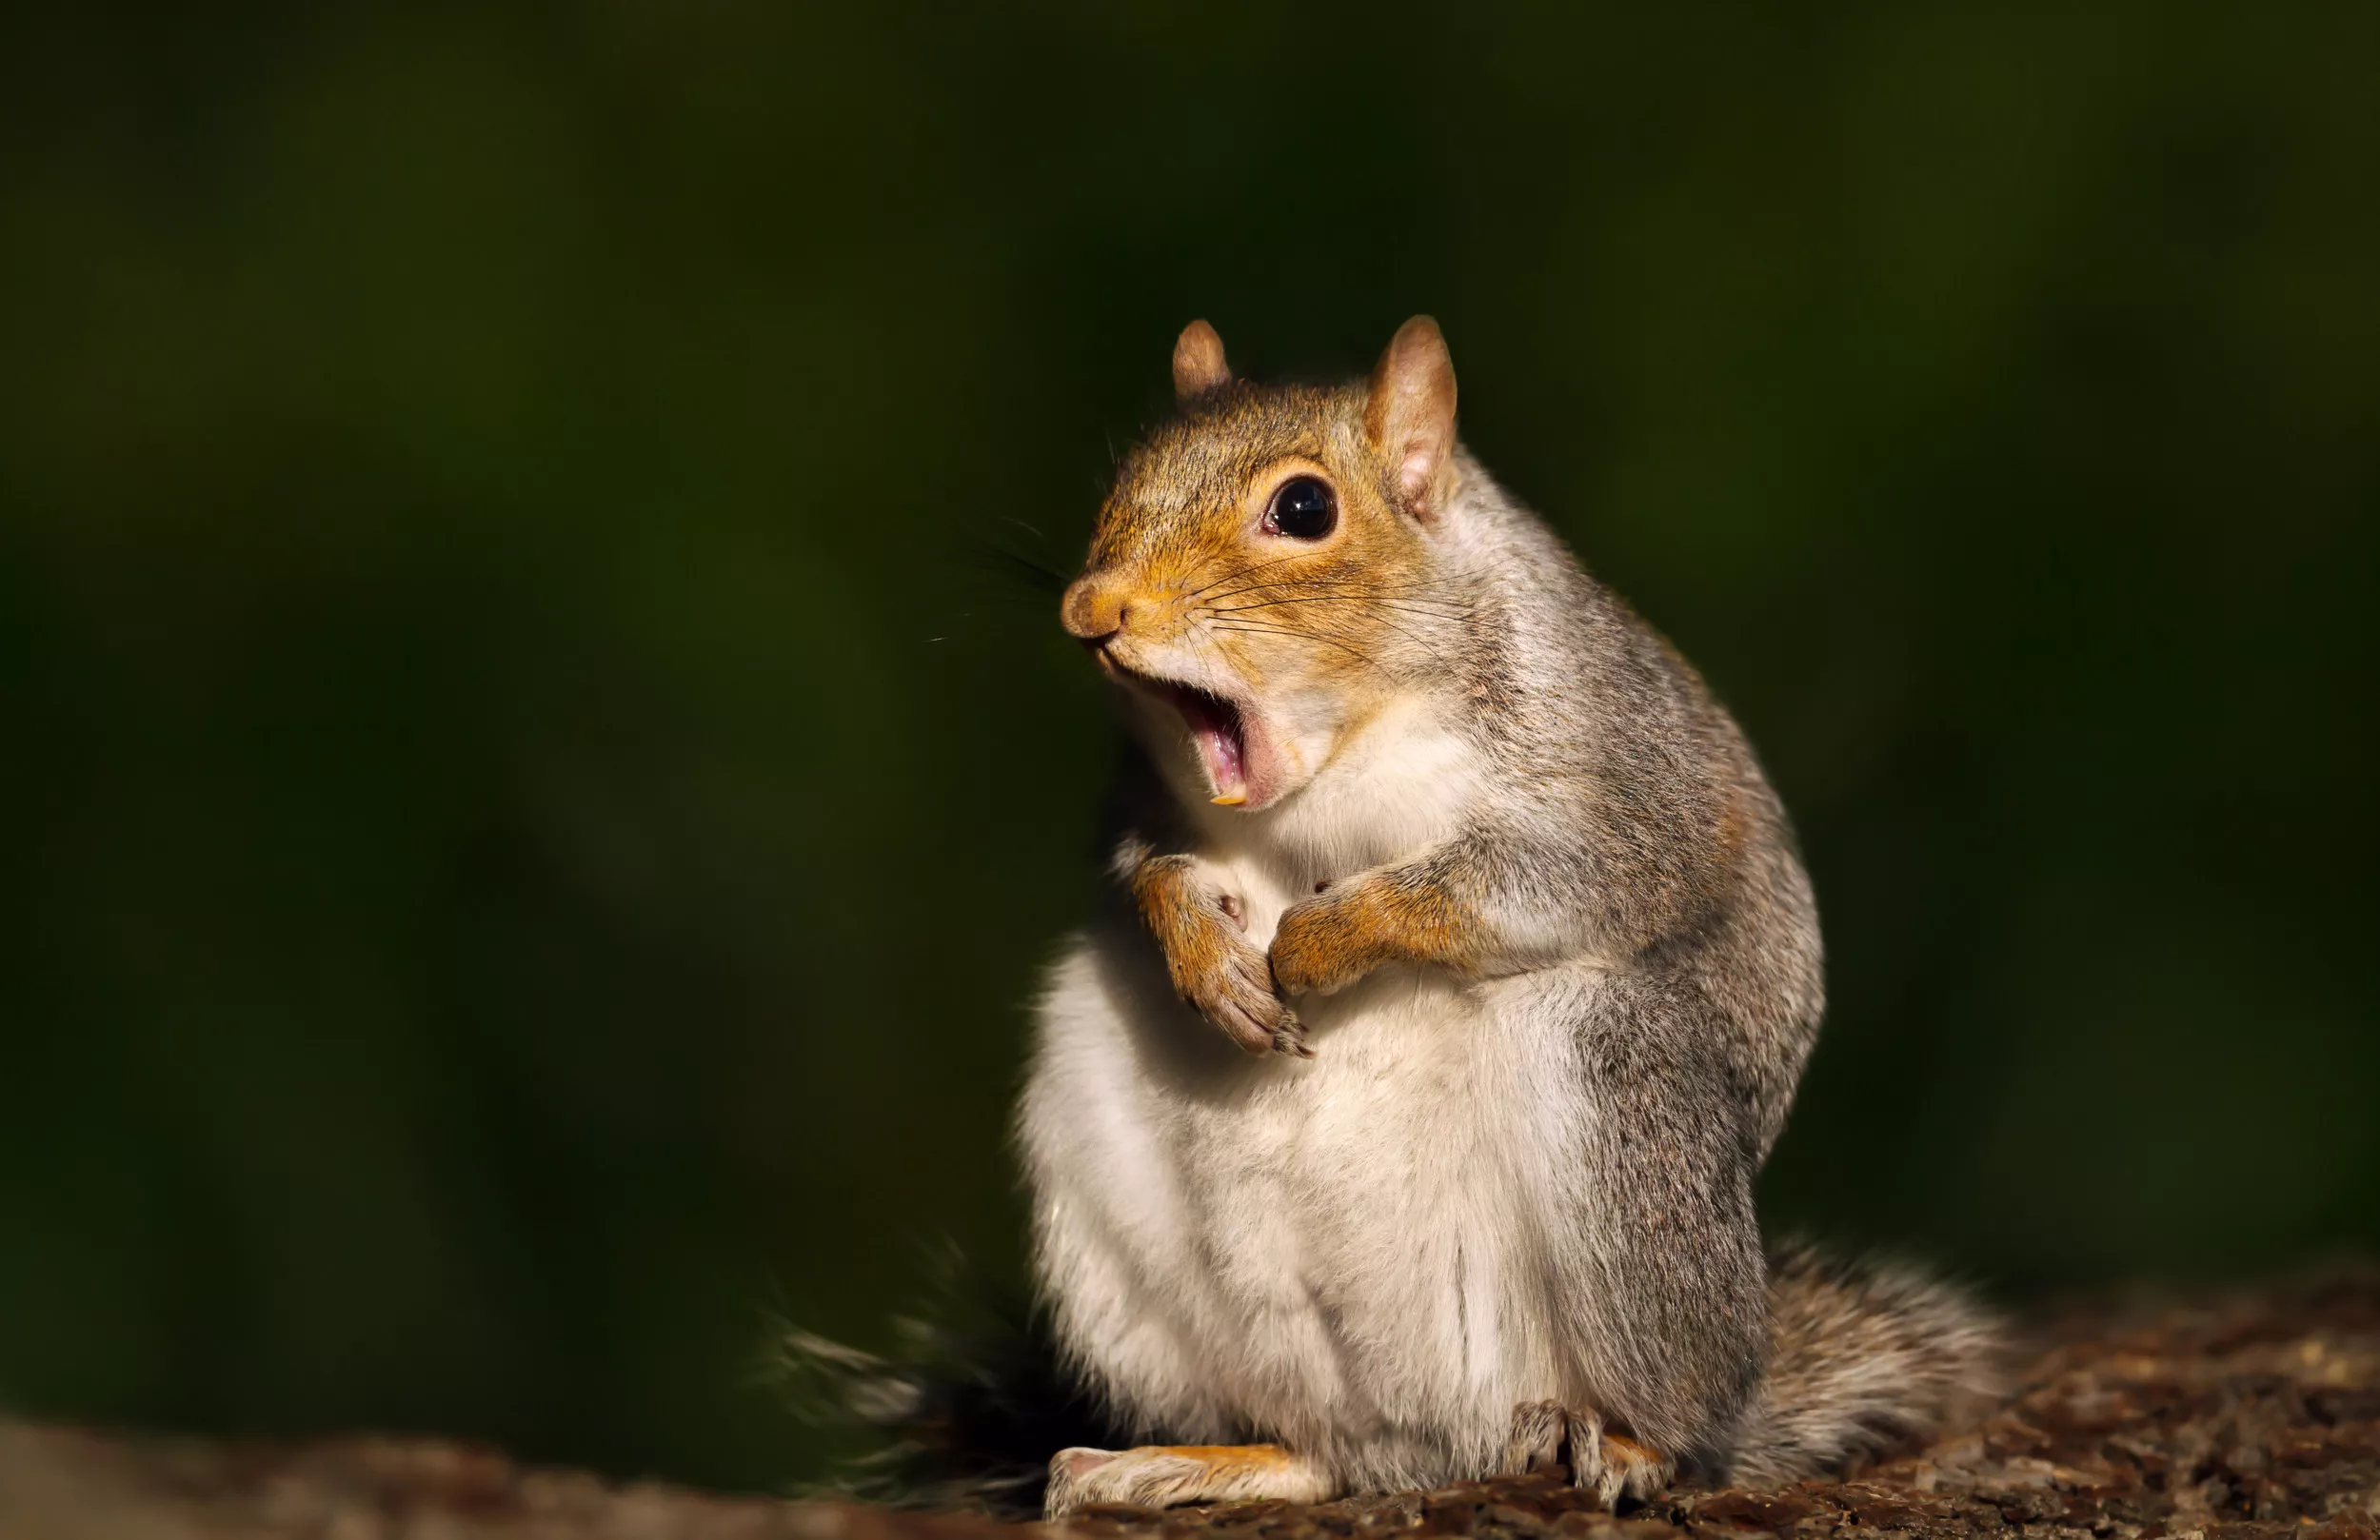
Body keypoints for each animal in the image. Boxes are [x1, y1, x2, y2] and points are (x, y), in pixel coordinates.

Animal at [1015, 318, 2007, 1517]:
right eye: (1124, 477)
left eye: (1302, 507)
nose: (1090, 608)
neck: (1338, 754)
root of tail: (1436, 1438)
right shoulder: (1135, 801)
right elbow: (1143, 869)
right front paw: (1205, 952)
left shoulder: (1622, 791)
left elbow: (1519, 883)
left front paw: (1318, 940)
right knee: (1319, 1453)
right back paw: (1194, 1461)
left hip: (1615, 1099)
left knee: (1682, 1419)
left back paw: (1625, 1442)